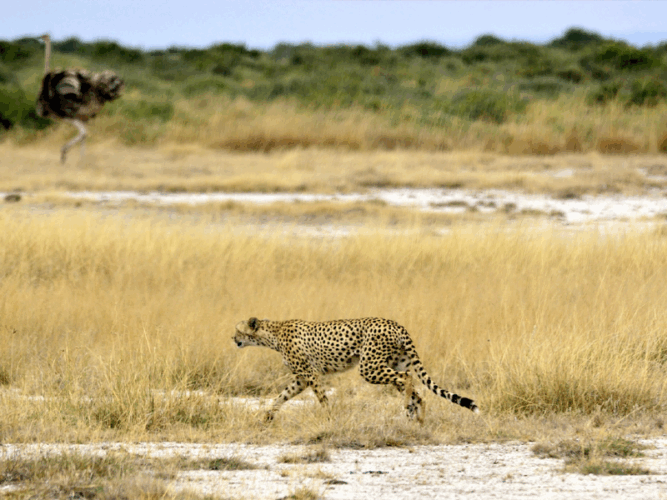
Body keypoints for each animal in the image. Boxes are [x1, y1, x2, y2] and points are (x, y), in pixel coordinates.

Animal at [233, 316, 478, 422]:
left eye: (237, 330)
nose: (233, 339)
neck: (272, 333)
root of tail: (396, 323)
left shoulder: (310, 374)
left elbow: (322, 399)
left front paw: (330, 419)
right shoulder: (301, 378)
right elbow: (281, 396)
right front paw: (267, 416)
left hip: (369, 367)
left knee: (407, 378)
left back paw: (408, 409)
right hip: (391, 363)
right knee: (416, 389)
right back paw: (417, 418)